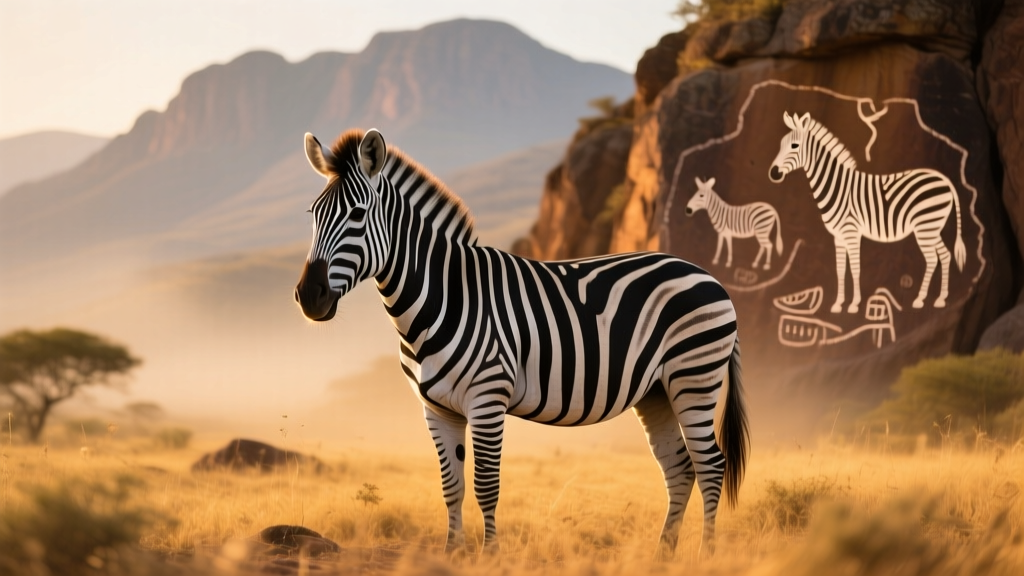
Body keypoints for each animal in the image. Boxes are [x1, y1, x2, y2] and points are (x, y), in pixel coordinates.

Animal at [294, 128, 749, 557]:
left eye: (357, 214)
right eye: (313, 215)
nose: (309, 296)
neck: (443, 296)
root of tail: (709, 277)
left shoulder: (487, 397)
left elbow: (486, 484)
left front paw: (490, 555)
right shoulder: (436, 408)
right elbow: (451, 486)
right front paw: (452, 553)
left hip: (694, 377)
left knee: (711, 466)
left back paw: (704, 555)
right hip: (657, 392)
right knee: (680, 469)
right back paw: (663, 556)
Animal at [768, 112, 966, 313]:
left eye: (794, 145)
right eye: (781, 144)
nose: (773, 174)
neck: (837, 186)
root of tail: (945, 180)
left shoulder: (851, 232)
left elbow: (855, 268)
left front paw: (854, 304)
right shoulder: (838, 236)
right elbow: (840, 269)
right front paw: (838, 304)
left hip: (925, 227)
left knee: (933, 259)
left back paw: (920, 300)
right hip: (932, 228)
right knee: (945, 255)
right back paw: (940, 299)